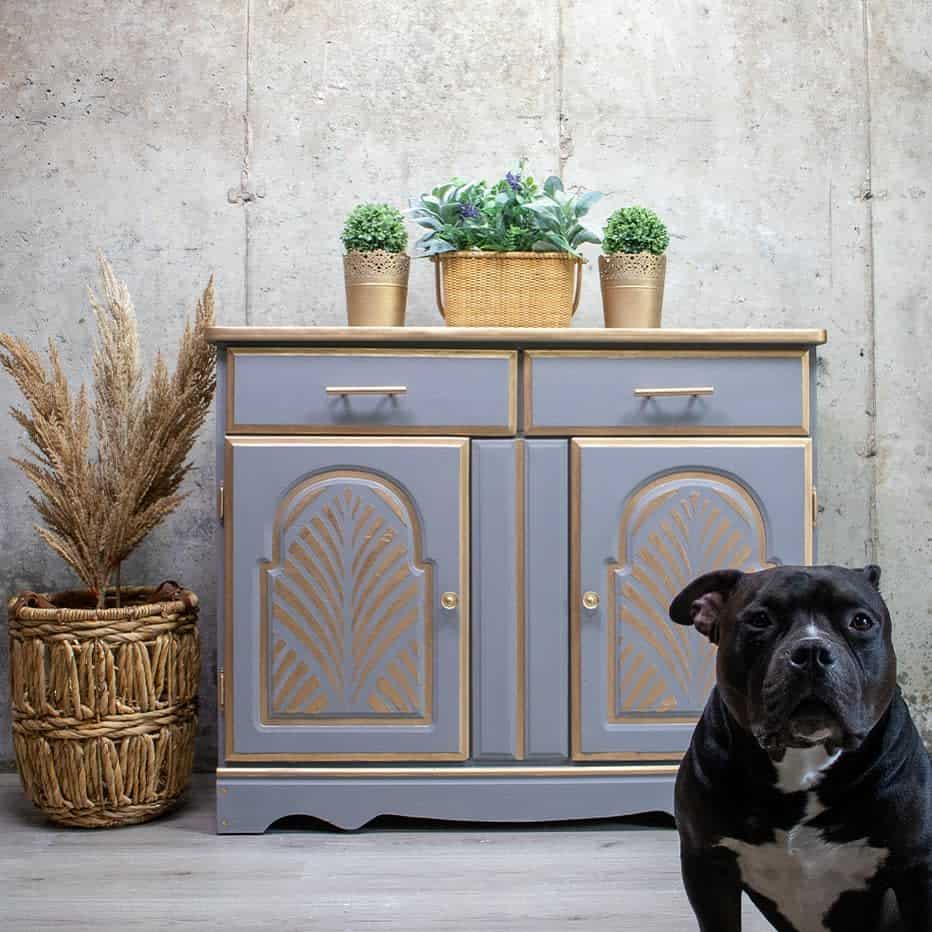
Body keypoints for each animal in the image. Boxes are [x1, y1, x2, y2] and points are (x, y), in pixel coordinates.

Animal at [668, 564, 932, 932]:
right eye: (760, 620)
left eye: (861, 621)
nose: (811, 653)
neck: (802, 759)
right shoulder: (707, 866)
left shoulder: (917, 870)